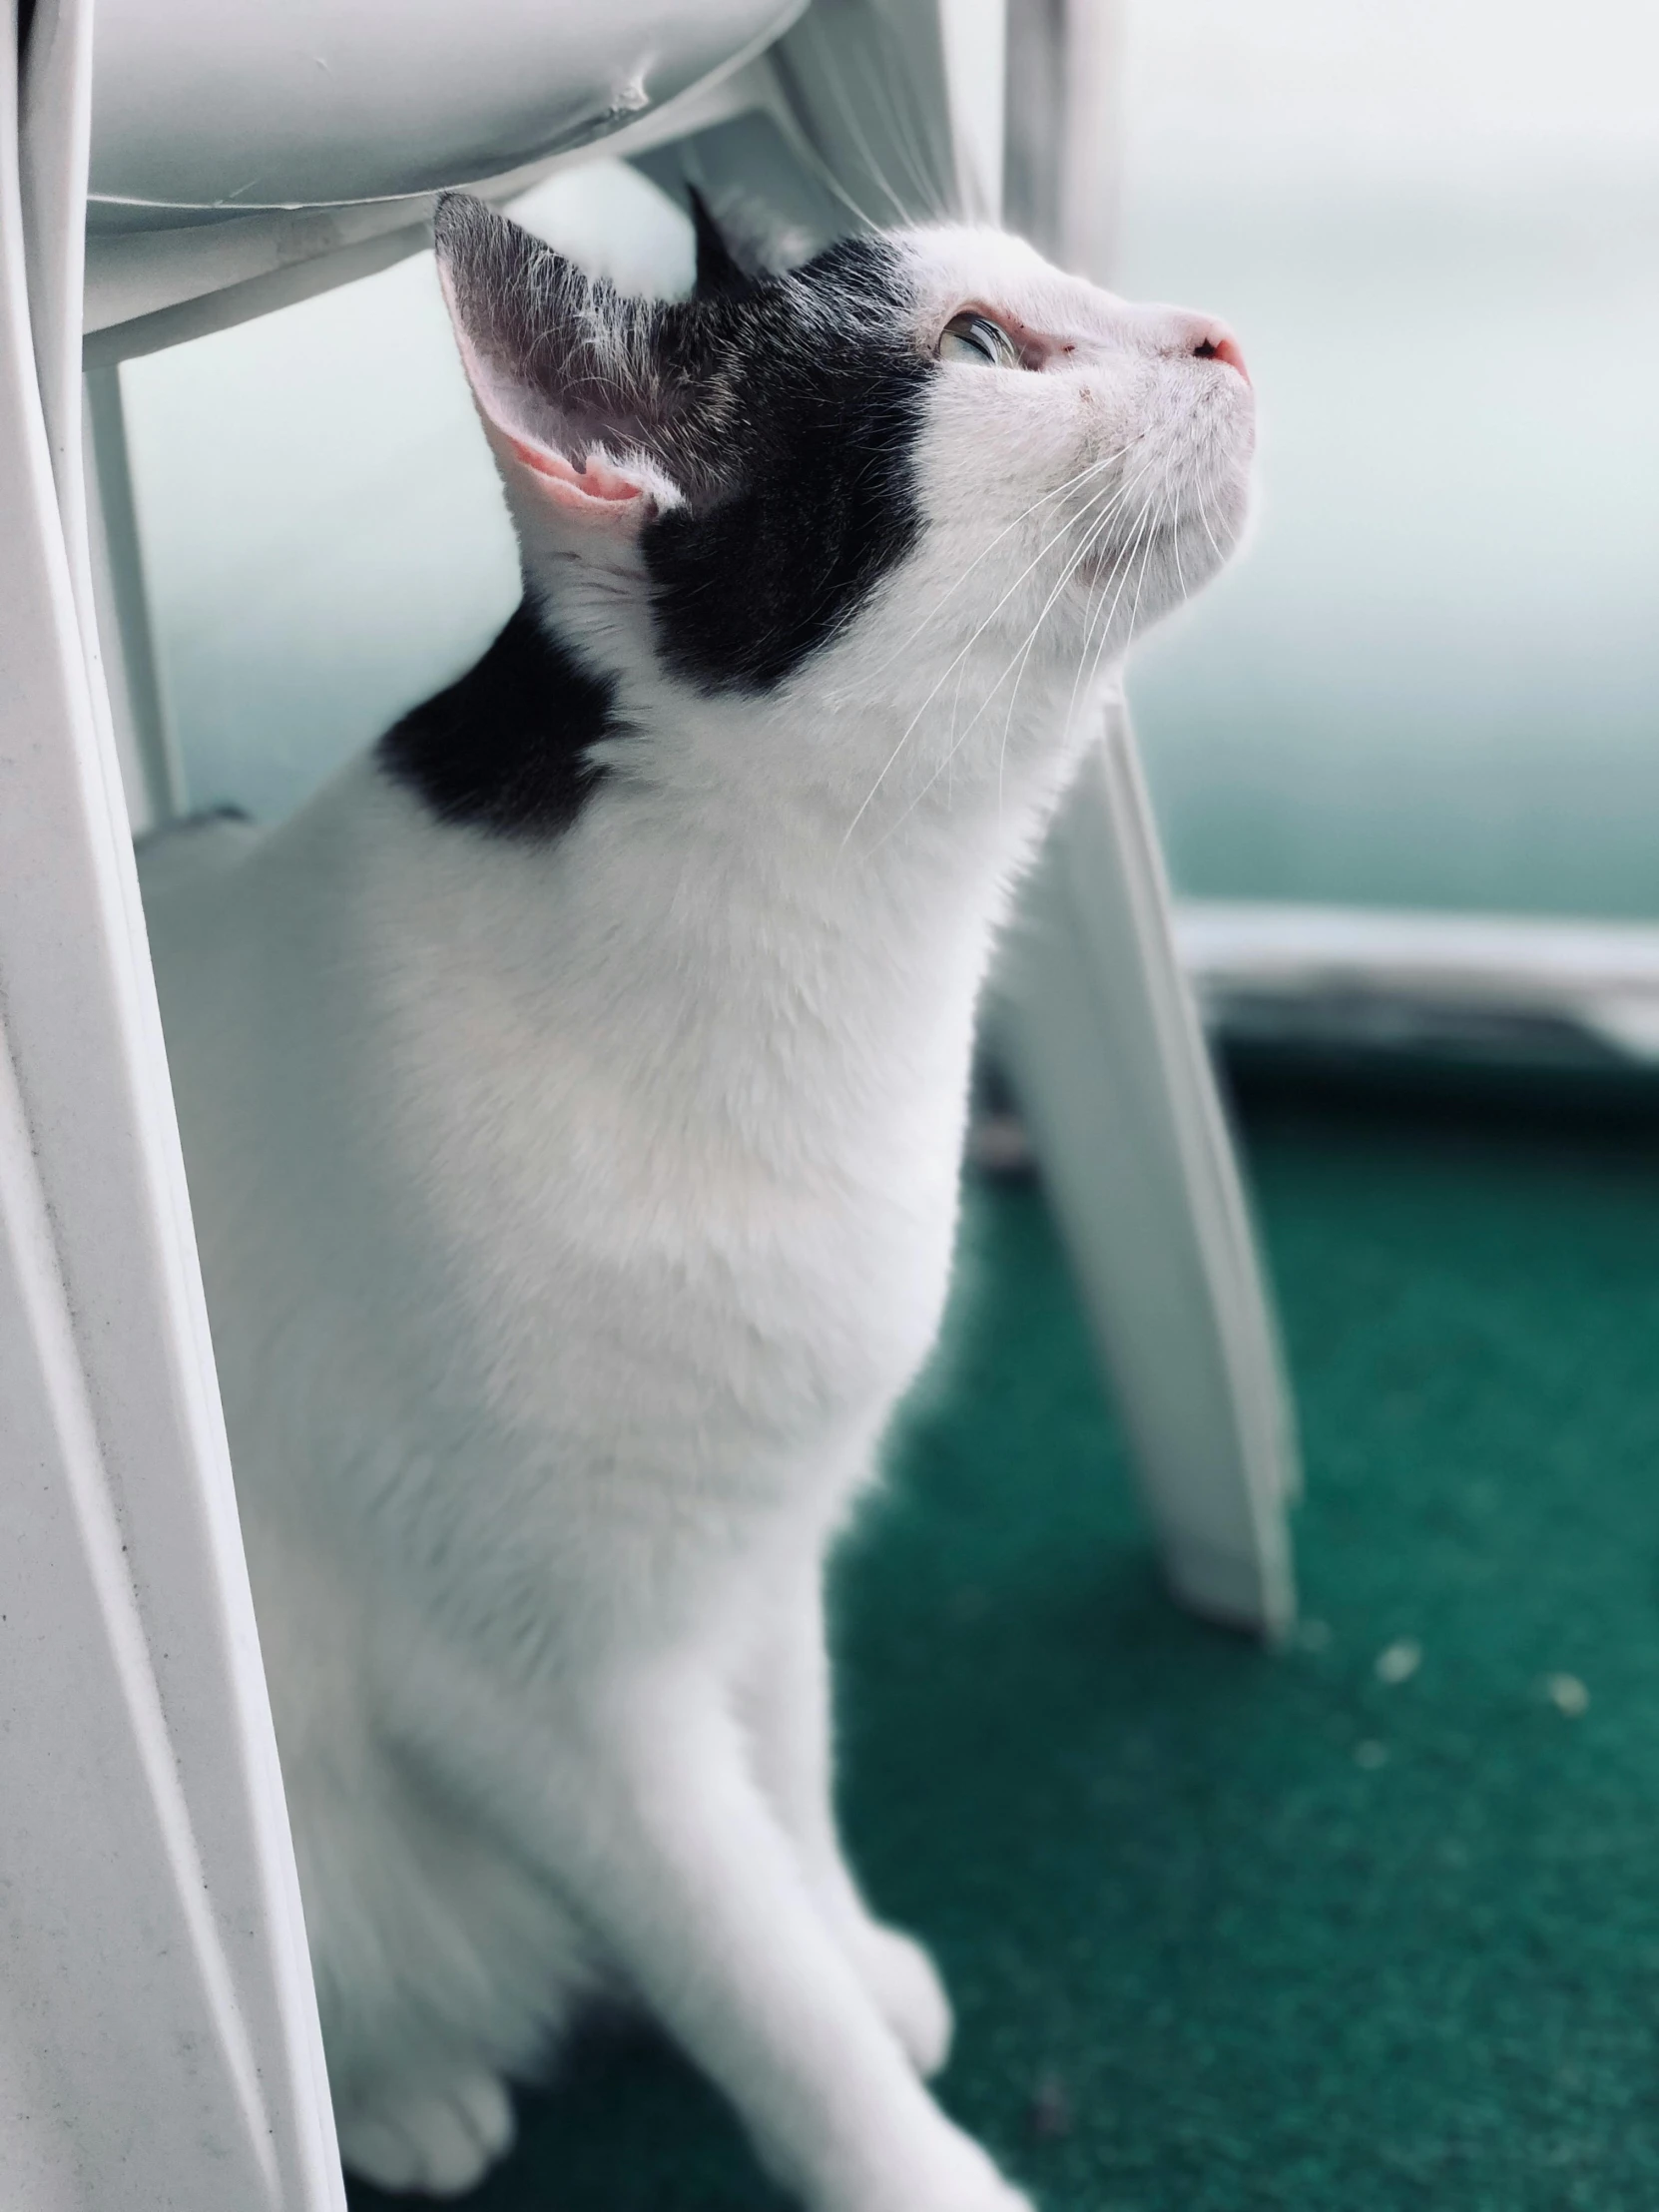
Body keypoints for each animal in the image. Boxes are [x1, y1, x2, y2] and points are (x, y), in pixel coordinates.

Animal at [142, 195, 1256, 2212]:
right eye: (978, 349)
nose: (1221, 335)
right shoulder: (541, 1698)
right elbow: (738, 1969)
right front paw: (905, 2166)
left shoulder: (760, 1543)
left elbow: (789, 1794)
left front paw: (853, 1948)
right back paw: (399, 2094)